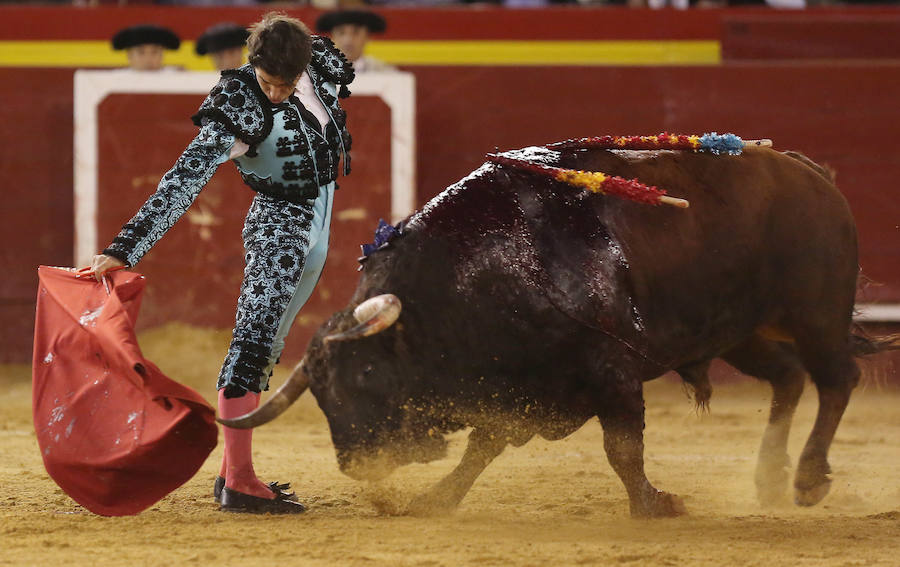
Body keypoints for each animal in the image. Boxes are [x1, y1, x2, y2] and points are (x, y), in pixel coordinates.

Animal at [221, 143, 896, 520]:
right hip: (739, 332)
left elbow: (622, 449)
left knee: (837, 379)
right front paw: (435, 499)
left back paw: (808, 479)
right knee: (788, 379)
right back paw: (770, 478)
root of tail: (812, 175)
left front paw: (654, 505)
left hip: (815, 312)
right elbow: (482, 448)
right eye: (321, 396)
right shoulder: (517, 385)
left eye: (366, 373)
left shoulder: (611, 373)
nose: (358, 464)